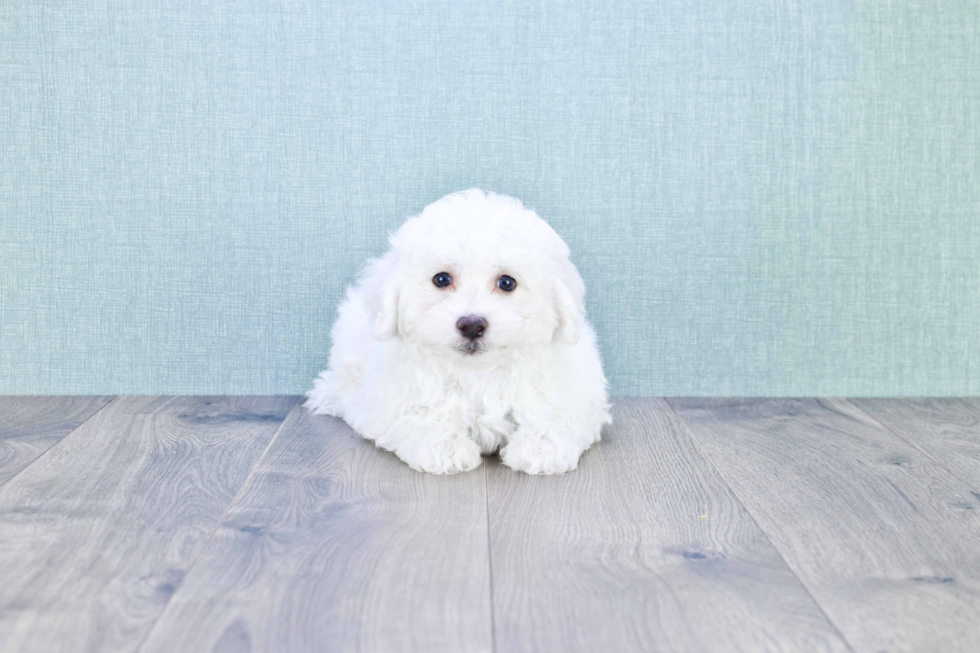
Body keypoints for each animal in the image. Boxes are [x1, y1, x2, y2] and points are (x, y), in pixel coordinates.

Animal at [306, 188, 612, 474]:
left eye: (507, 283)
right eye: (441, 279)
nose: (472, 325)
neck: (477, 373)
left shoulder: (575, 393)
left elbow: (558, 414)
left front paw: (542, 446)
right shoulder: (388, 402)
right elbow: (415, 416)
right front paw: (443, 446)